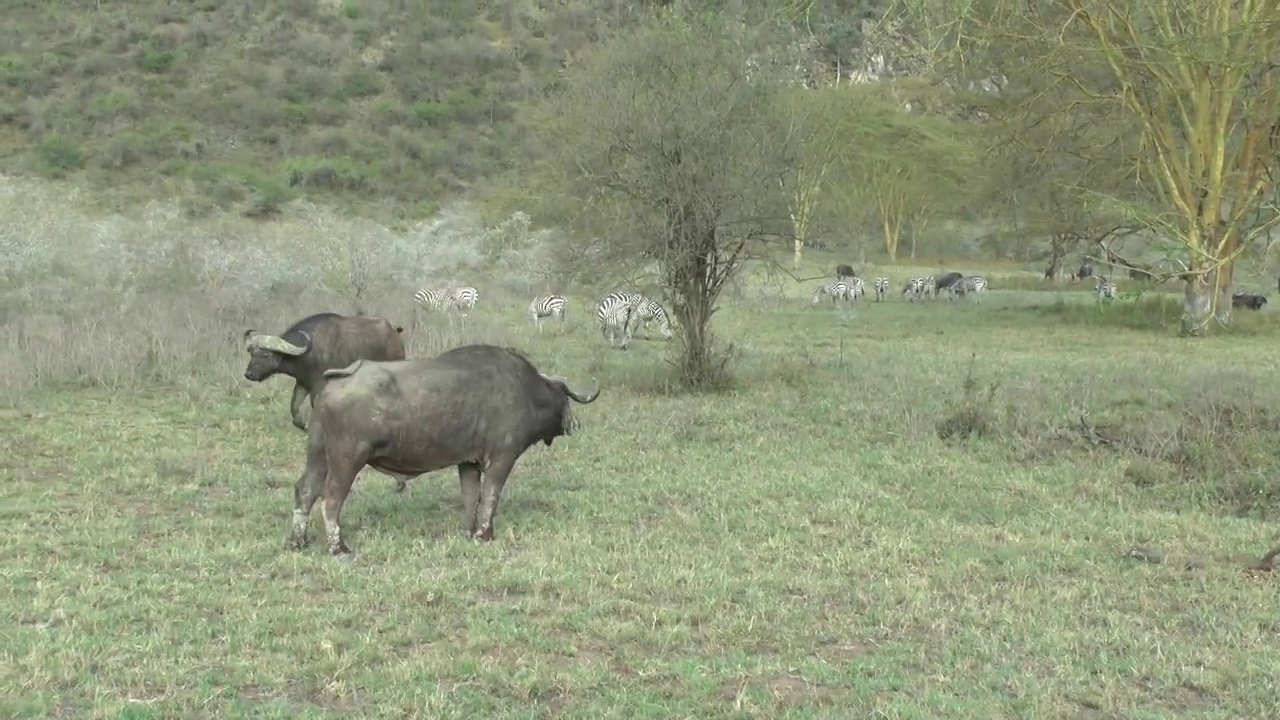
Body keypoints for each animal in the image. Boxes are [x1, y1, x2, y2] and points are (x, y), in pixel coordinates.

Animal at [244, 310, 404, 430]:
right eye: (252, 354)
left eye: (266, 355)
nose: (248, 374)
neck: (308, 352)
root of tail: (394, 331)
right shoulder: (303, 383)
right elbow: (294, 410)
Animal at [290, 345, 604, 550]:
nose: (572, 425)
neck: (525, 389)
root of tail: (339, 378)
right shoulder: (501, 459)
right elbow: (490, 497)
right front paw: (484, 535)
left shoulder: (468, 463)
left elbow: (471, 497)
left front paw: (469, 530)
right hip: (347, 459)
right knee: (330, 499)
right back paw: (337, 546)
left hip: (318, 455)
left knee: (305, 491)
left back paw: (297, 540)